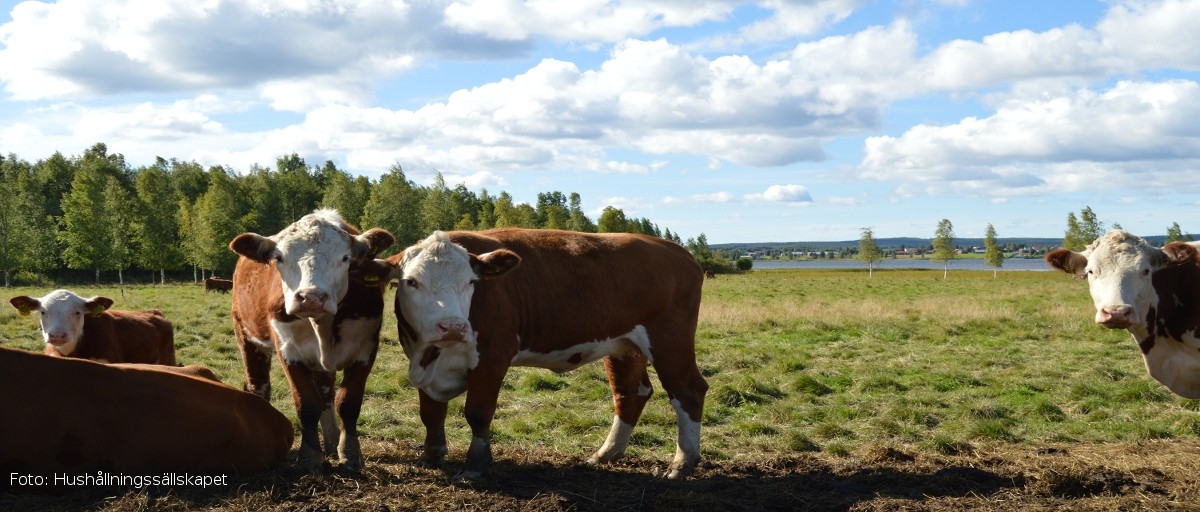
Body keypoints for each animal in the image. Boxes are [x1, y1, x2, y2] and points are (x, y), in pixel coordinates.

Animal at [226, 209, 391, 472]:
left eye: (345, 258)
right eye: (279, 258)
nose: (311, 297)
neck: (322, 324)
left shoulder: (366, 350)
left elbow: (347, 404)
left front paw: (349, 454)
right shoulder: (289, 351)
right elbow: (306, 405)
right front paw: (310, 456)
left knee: (326, 394)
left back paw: (332, 443)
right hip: (246, 336)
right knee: (259, 386)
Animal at [384, 229, 705, 482]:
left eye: (471, 282)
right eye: (411, 281)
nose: (452, 326)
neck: (434, 356)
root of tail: (676, 250)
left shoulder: (492, 359)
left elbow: (477, 413)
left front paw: (476, 465)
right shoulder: (421, 361)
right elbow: (431, 413)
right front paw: (431, 457)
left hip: (669, 339)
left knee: (688, 391)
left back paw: (682, 463)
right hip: (623, 346)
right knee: (630, 394)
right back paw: (606, 453)